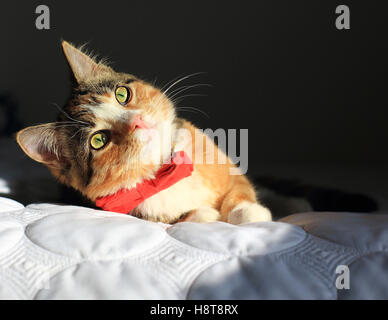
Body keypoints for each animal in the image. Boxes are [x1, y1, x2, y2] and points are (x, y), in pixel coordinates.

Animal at [15, 40, 272, 225]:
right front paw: (202, 215)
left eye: (122, 94)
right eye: (98, 140)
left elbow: (239, 187)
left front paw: (249, 212)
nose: (137, 121)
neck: (165, 172)